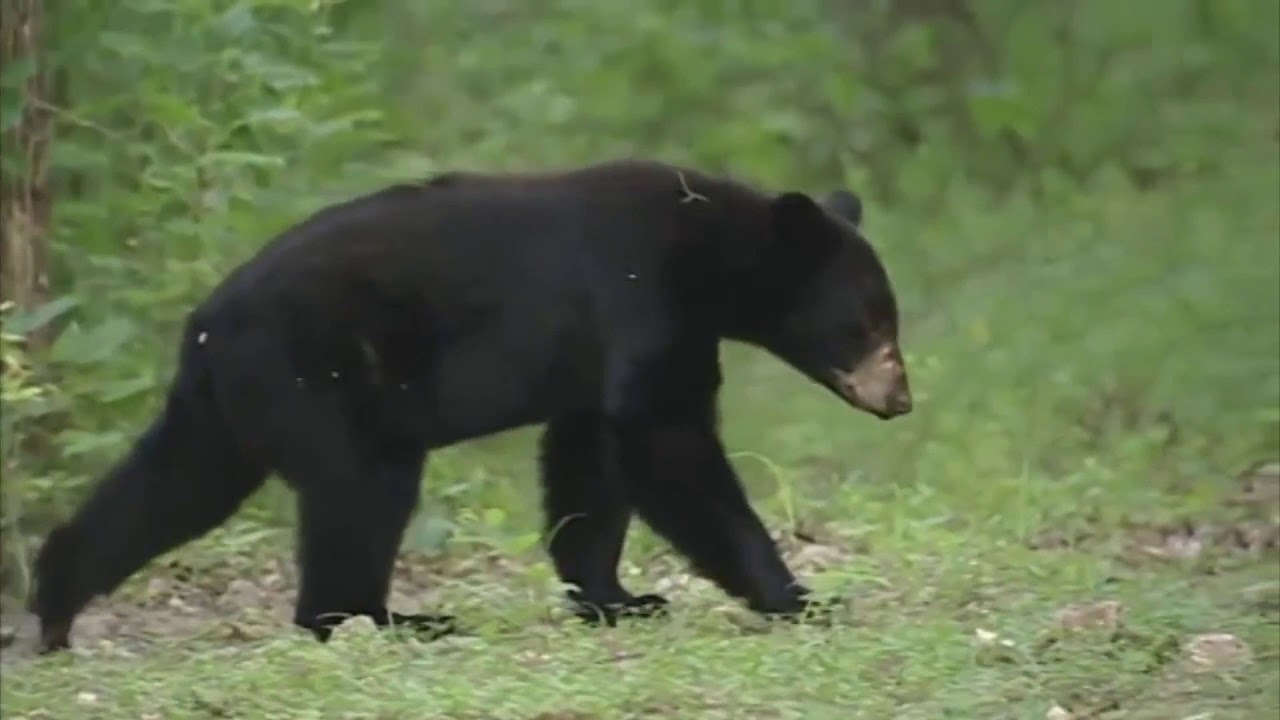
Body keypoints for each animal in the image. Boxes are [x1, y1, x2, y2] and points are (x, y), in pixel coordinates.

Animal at [28, 158, 912, 653]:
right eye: (869, 321)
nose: (902, 397)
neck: (707, 250)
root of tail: (206, 327)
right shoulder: (641, 298)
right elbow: (667, 441)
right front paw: (798, 595)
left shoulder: (598, 356)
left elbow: (589, 460)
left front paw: (619, 597)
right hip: (321, 379)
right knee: (359, 493)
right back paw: (386, 620)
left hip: (229, 409)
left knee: (173, 486)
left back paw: (53, 603)